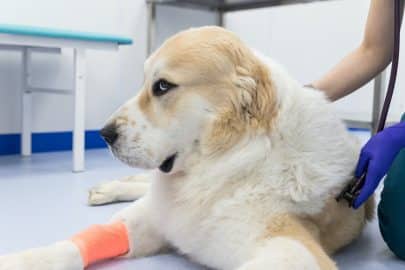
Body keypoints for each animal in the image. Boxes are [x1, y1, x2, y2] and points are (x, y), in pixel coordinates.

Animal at [0, 25, 372, 270]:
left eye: (163, 86)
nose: (104, 134)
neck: (230, 164)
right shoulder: (157, 215)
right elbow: (75, 245)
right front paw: (24, 259)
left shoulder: (292, 248)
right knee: (142, 186)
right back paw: (108, 188)